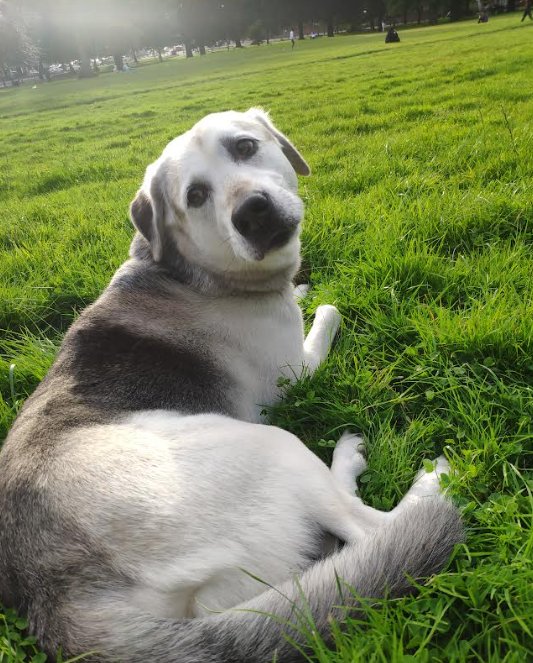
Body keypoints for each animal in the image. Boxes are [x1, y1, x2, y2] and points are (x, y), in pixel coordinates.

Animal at [0, 110, 462, 663]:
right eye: (196, 195)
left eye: (244, 147)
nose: (253, 213)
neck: (189, 270)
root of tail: (58, 599)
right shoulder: (296, 371)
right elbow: (329, 312)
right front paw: (317, 298)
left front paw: (303, 287)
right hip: (272, 447)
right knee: (372, 528)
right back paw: (422, 483)